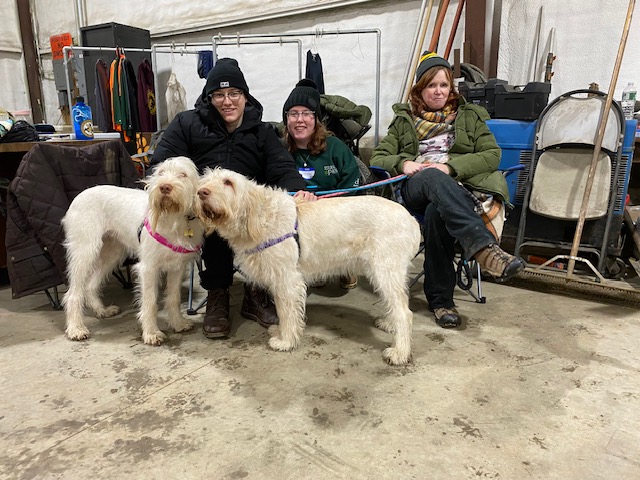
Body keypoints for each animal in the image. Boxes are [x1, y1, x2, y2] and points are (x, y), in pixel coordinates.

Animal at [62, 156, 205, 345]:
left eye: (183, 175)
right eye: (161, 173)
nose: (164, 187)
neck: (173, 218)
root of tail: (79, 196)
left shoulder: (177, 267)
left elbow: (173, 298)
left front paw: (178, 323)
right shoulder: (148, 268)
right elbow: (150, 302)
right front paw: (151, 333)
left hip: (112, 252)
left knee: (90, 284)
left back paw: (102, 311)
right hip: (84, 251)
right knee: (73, 293)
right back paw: (75, 329)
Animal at [195, 168, 421, 365]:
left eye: (228, 182)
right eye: (204, 181)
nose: (201, 192)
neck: (261, 216)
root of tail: (411, 219)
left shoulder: (287, 281)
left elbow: (286, 312)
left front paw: (285, 340)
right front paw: (281, 333)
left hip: (386, 271)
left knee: (405, 313)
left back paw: (400, 352)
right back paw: (390, 325)